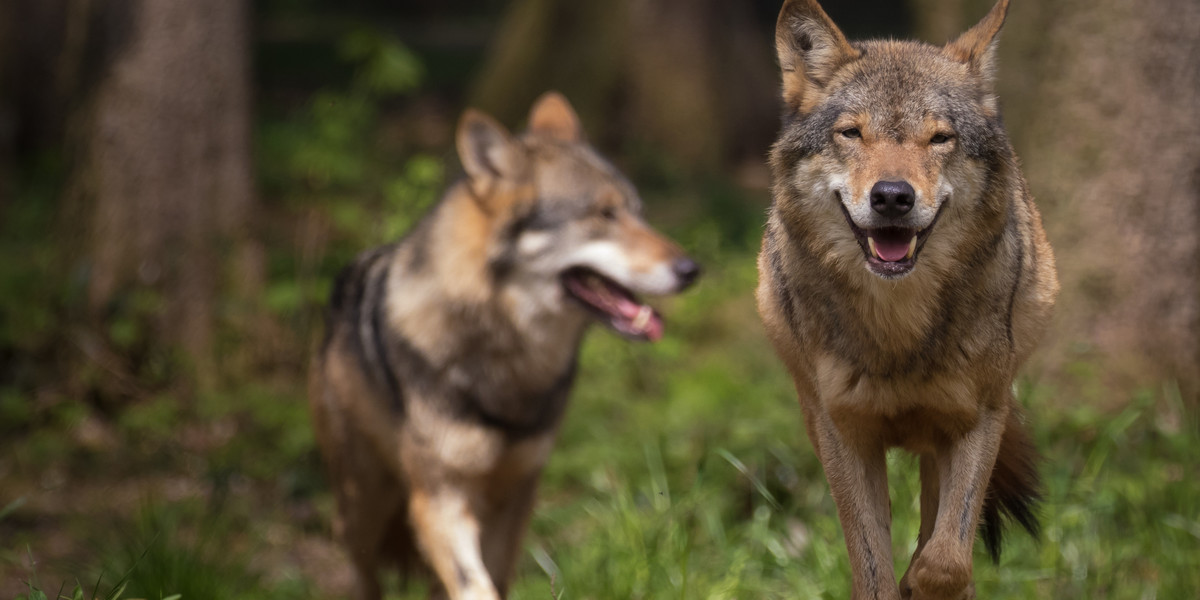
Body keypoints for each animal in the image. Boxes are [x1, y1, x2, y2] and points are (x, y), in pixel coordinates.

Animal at [312, 91, 700, 597]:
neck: (508, 361)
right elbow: (475, 584)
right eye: (604, 214)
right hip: (365, 505)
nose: (692, 269)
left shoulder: (518, 493)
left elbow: (494, 578)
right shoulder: (439, 499)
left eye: (638, 212)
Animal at [758, 2, 1060, 597]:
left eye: (939, 138)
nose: (893, 196)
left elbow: (947, 560)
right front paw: (899, 580)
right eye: (851, 133)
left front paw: (922, 578)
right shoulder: (843, 435)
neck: (898, 331)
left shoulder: (979, 417)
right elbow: (872, 571)